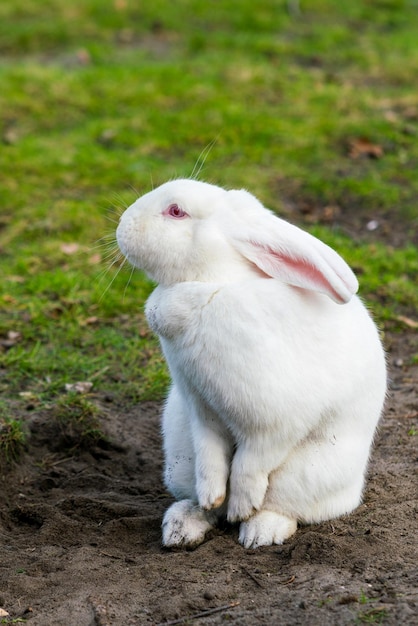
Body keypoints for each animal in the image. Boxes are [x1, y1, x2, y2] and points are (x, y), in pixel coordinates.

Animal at [116, 176, 386, 544]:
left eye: (176, 212)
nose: (122, 226)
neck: (213, 284)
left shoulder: (275, 421)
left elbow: (250, 465)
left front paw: (242, 507)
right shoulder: (200, 409)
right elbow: (212, 458)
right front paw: (212, 496)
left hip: (307, 474)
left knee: (286, 508)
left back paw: (259, 532)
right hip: (180, 454)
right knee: (205, 503)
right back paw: (183, 525)